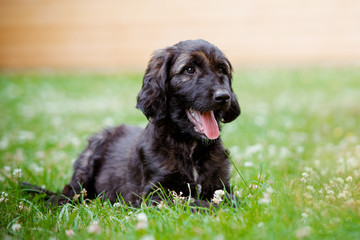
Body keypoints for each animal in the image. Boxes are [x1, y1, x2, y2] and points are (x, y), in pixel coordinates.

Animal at [23, 39, 240, 208]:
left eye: (222, 69)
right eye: (189, 69)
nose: (224, 97)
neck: (190, 146)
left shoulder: (220, 186)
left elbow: (230, 198)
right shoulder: (155, 193)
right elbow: (195, 202)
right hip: (86, 164)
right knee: (69, 192)